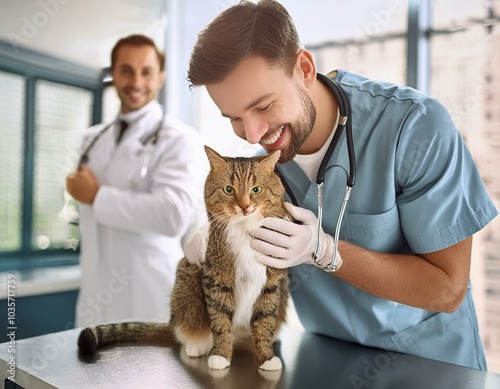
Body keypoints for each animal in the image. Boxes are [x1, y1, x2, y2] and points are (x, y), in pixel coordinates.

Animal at [77, 146, 290, 370]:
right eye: (229, 190)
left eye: (256, 190)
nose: (245, 206)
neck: (245, 231)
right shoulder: (216, 279)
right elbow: (220, 320)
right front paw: (220, 354)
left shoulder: (272, 283)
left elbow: (265, 322)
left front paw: (266, 356)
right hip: (186, 282)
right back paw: (196, 345)